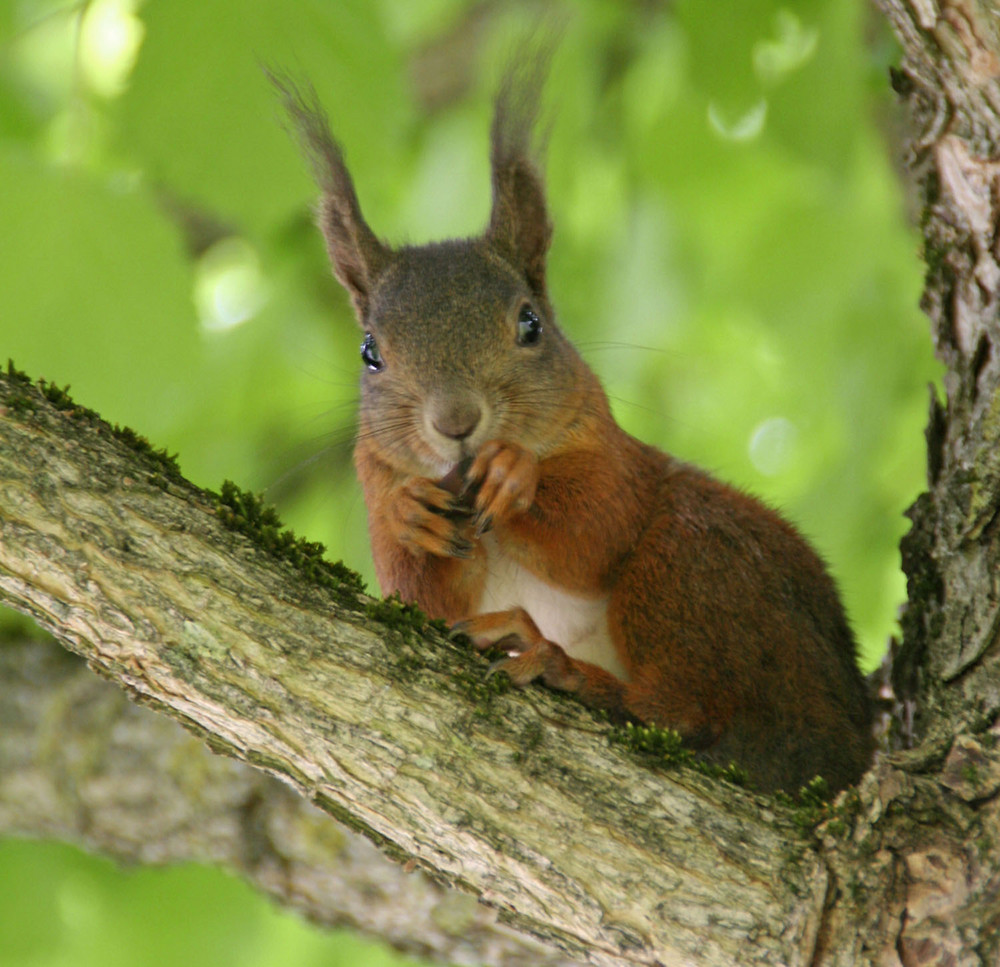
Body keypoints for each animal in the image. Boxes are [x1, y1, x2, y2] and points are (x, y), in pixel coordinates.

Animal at [274, 66, 876, 796]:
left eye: (530, 323)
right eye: (369, 351)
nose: (456, 422)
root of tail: (845, 737)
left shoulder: (616, 457)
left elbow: (599, 527)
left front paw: (516, 474)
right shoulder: (378, 481)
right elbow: (421, 600)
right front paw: (405, 511)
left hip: (695, 565)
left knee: (681, 712)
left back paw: (557, 661)